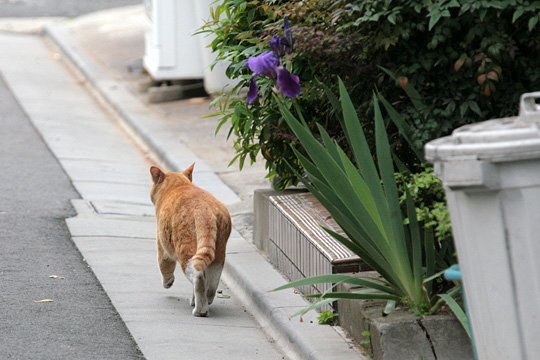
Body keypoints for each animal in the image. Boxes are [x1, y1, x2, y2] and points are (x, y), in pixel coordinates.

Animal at [149, 165, 231, 316]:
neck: (179, 186)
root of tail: (205, 210)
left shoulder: (163, 246)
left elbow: (164, 265)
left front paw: (168, 283)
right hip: (219, 252)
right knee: (212, 280)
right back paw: (206, 300)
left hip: (185, 250)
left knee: (198, 276)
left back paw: (200, 310)